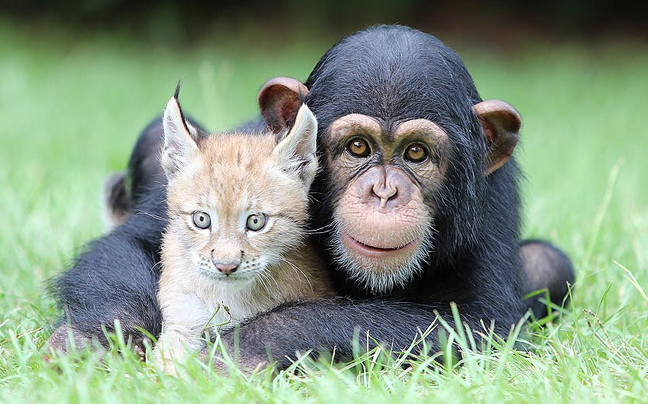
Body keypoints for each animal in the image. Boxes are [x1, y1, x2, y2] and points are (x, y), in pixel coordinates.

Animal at [49, 24, 572, 366]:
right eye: (358, 147)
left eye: (416, 153)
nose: (384, 193)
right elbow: (132, 245)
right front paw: (93, 339)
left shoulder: (488, 207)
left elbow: (476, 325)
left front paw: (237, 350)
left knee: (548, 262)